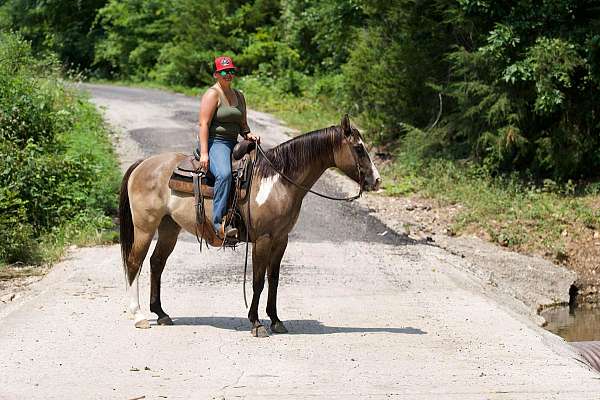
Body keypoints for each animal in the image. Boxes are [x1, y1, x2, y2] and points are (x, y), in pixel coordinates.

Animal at [119, 114, 382, 336]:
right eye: (359, 148)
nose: (377, 180)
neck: (277, 181)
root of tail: (143, 163)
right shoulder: (263, 239)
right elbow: (257, 280)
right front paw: (256, 323)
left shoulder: (281, 239)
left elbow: (274, 279)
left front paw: (276, 320)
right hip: (145, 227)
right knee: (134, 263)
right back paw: (139, 316)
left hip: (169, 228)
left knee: (156, 263)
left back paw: (161, 314)